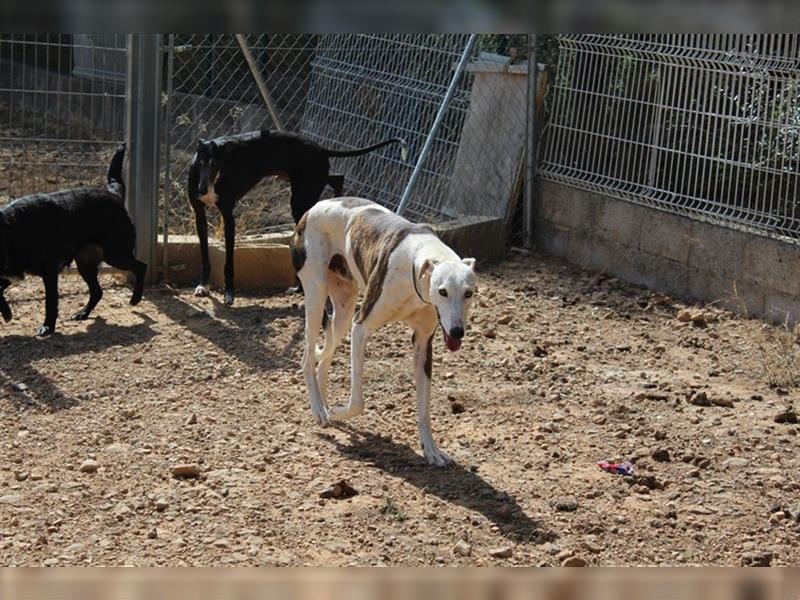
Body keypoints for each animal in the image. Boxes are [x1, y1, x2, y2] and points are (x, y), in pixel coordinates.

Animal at [0, 143, 147, 336]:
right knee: (97, 291)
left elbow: (51, 302)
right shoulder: (10, 273)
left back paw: (135, 299)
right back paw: (83, 313)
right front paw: (6, 313)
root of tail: (113, 194)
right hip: (86, 264)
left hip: (116, 255)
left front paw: (47, 327)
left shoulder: (49, 272)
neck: (12, 230)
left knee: (141, 267)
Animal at [189, 127, 406, 304]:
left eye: (215, 163)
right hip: (313, 181)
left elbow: (229, 261)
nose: (202, 190)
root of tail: (320, 148)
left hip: (302, 197)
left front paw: (229, 293)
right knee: (337, 178)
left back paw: (301, 287)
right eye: (201, 161)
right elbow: (204, 255)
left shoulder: (228, 218)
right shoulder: (199, 215)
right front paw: (203, 285)